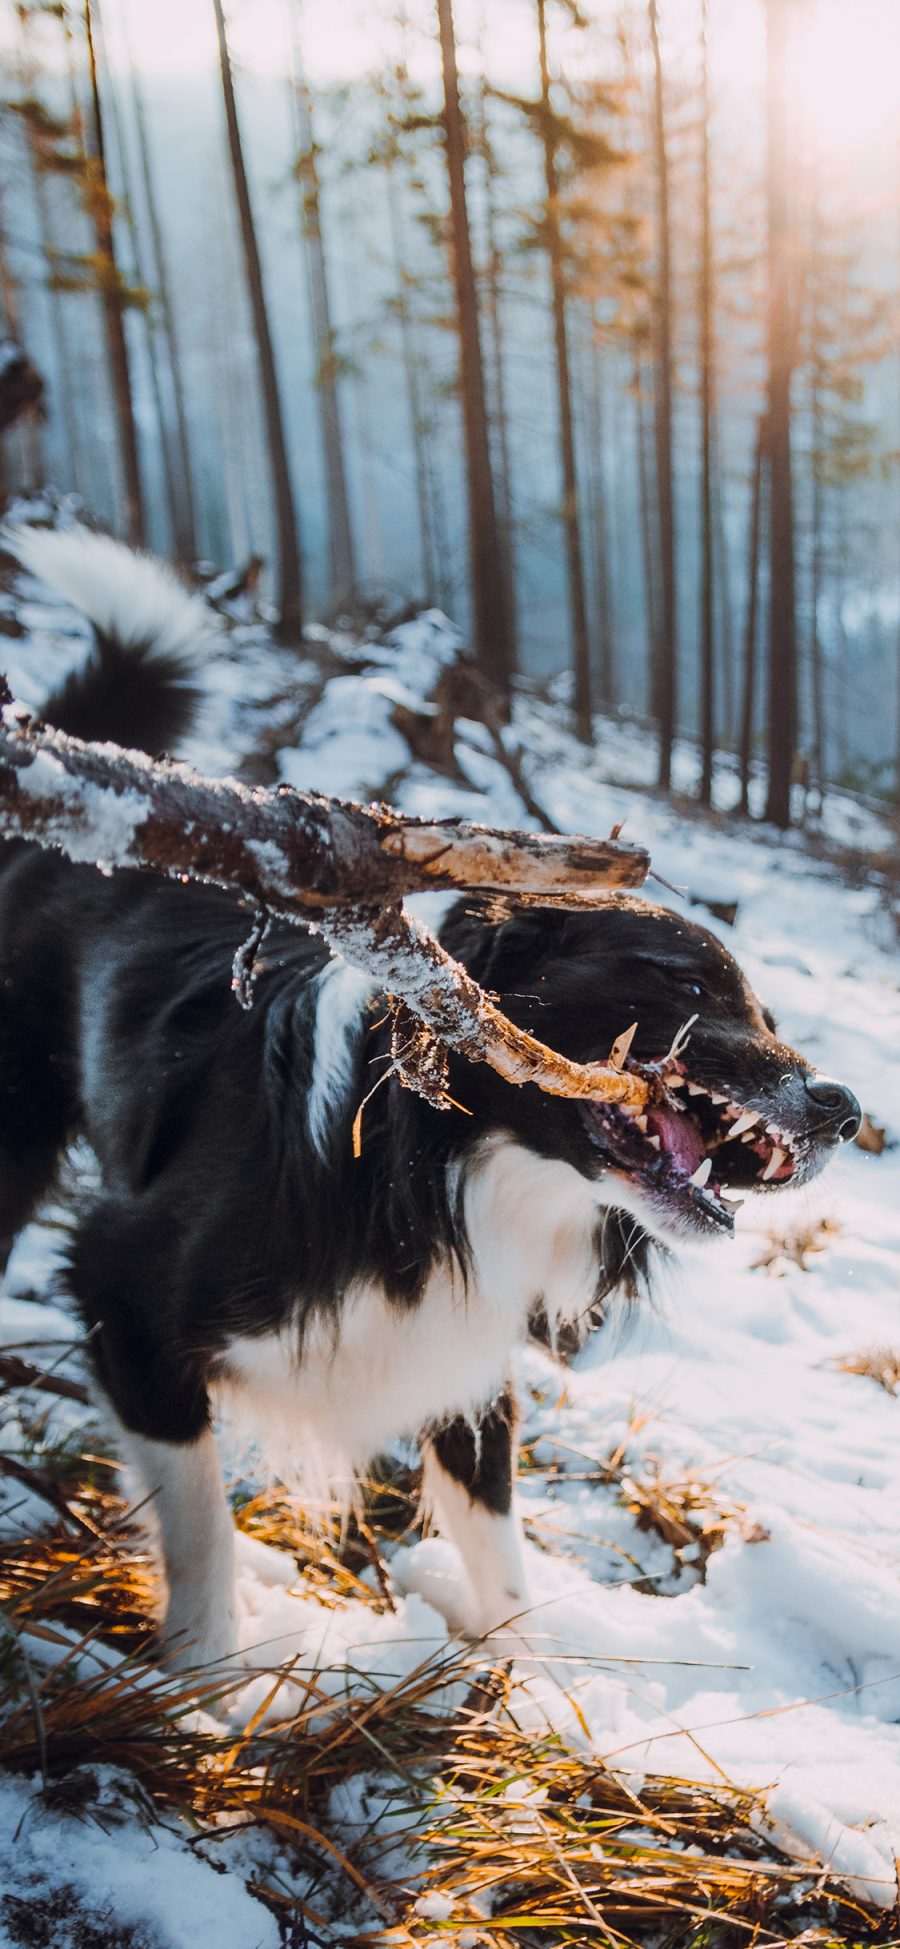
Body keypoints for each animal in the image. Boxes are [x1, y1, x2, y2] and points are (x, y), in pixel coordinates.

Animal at [0, 530, 861, 1660]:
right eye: (684, 982)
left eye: (762, 1007)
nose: (847, 1107)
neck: (442, 1173)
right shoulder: (121, 1287)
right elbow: (202, 1533)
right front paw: (204, 1677)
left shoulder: (464, 1362)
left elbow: (501, 1555)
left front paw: (528, 1680)